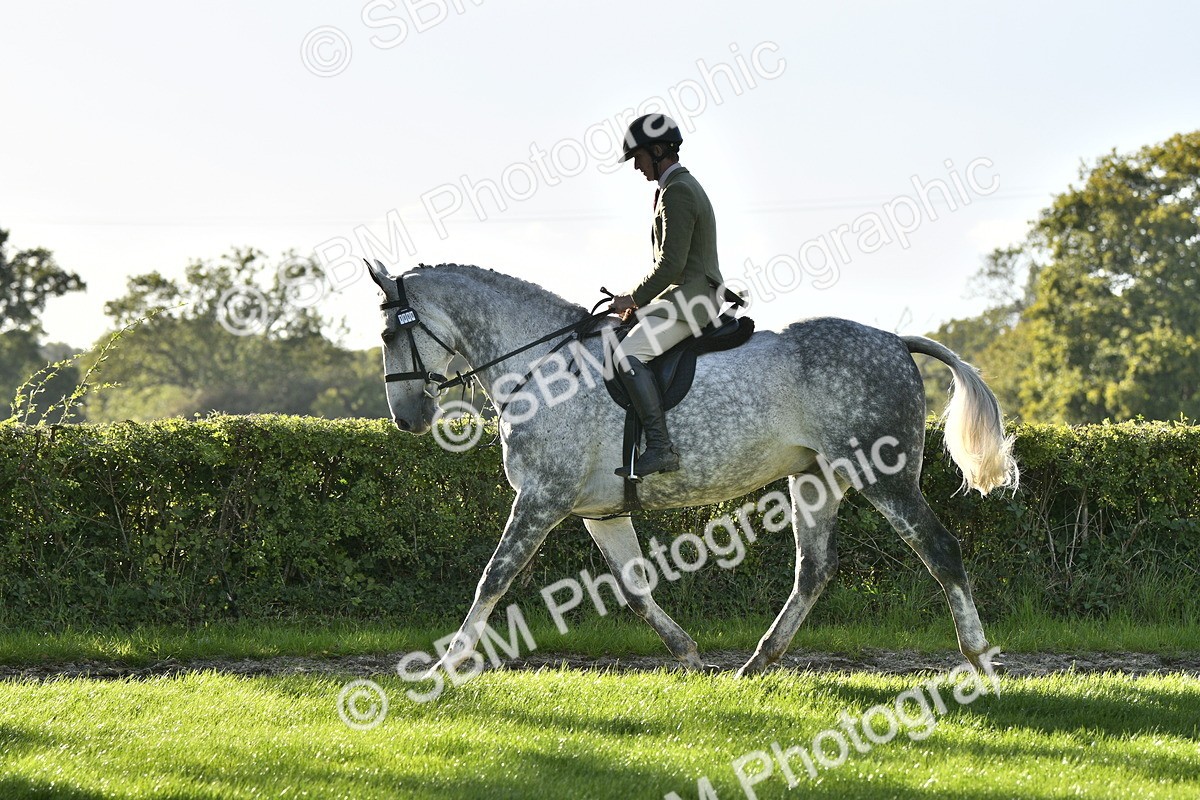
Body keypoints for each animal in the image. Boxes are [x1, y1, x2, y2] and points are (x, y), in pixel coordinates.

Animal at [366, 261, 1019, 677]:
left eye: (387, 333)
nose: (405, 418)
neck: (542, 364)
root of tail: (895, 340)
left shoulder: (541, 499)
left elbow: (493, 578)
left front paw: (446, 665)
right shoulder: (599, 512)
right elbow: (633, 588)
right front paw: (688, 654)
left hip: (884, 476)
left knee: (940, 549)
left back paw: (980, 658)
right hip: (815, 479)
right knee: (814, 569)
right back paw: (757, 662)